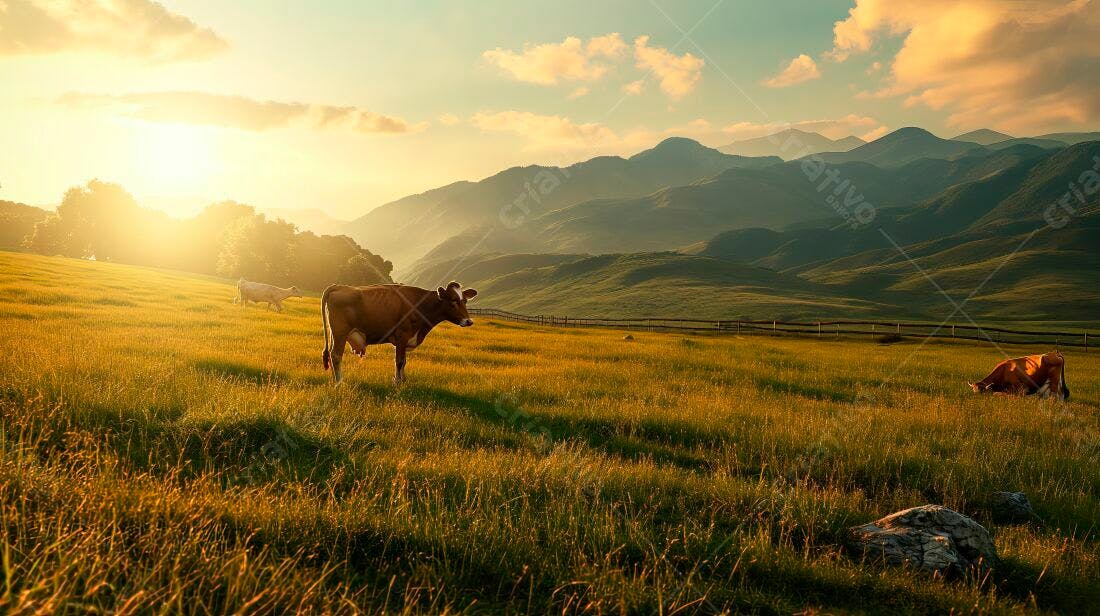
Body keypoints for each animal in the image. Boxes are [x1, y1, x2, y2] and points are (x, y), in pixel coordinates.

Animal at [320, 281, 477, 384]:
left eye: (465, 301)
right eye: (453, 301)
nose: (468, 321)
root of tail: (338, 286)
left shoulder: (405, 340)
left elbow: (404, 361)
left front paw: (403, 380)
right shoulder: (402, 335)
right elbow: (400, 361)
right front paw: (397, 382)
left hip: (335, 333)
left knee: (332, 354)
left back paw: (334, 379)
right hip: (340, 332)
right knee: (336, 355)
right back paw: (339, 382)